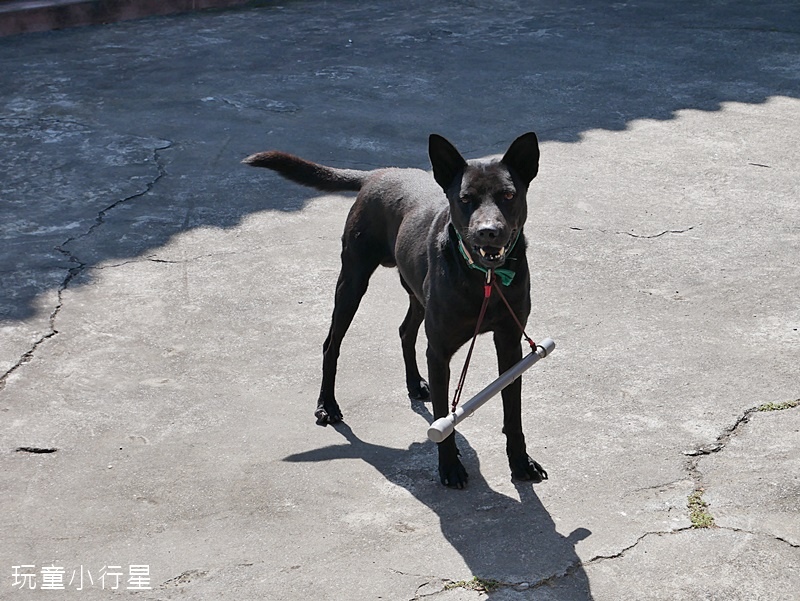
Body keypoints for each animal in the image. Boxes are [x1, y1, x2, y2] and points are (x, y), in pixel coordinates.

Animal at [244, 132, 544, 488]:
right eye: (466, 199)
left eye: (509, 195)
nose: (488, 231)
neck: (486, 279)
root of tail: (378, 174)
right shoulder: (439, 351)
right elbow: (443, 419)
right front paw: (449, 467)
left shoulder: (510, 345)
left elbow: (513, 413)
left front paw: (520, 462)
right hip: (352, 281)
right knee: (332, 343)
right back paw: (327, 405)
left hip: (415, 292)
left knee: (405, 331)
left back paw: (414, 383)